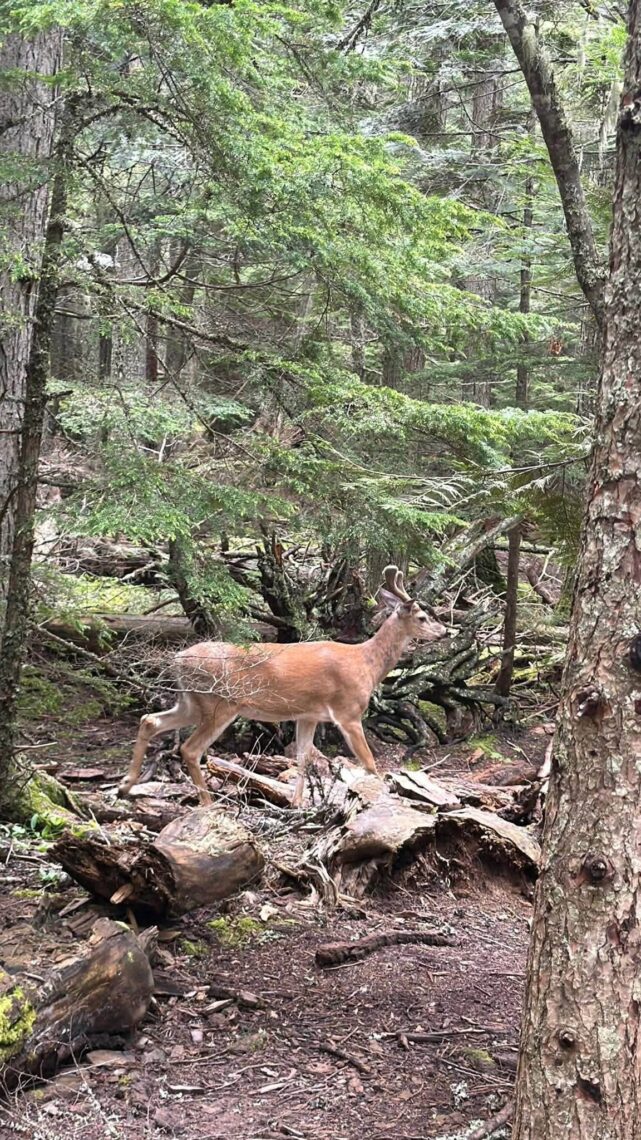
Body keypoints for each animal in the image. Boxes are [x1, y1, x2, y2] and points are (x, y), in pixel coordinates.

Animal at [117, 565, 448, 808]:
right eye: (422, 617)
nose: (444, 631)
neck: (366, 663)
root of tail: (177, 659)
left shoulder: (309, 715)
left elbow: (303, 758)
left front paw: (297, 803)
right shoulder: (348, 712)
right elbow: (369, 763)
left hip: (190, 701)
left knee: (150, 720)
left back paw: (126, 785)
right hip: (219, 703)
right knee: (189, 748)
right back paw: (207, 803)